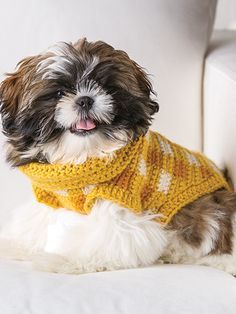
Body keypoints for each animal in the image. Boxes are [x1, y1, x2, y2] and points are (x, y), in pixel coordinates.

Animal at [0, 38, 236, 274]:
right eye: (59, 93)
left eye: (106, 88)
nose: (85, 100)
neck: (84, 155)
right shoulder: (55, 198)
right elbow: (36, 221)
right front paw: (16, 243)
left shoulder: (121, 206)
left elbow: (98, 239)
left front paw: (60, 258)